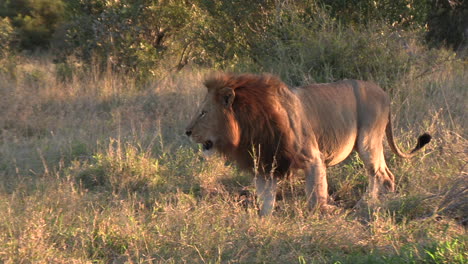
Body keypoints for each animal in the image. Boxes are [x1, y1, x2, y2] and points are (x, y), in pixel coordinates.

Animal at [184, 73, 432, 216]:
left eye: (203, 112)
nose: (186, 132)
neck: (250, 125)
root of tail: (384, 93)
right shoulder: (266, 162)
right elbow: (266, 199)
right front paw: (263, 221)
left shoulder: (313, 157)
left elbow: (316, 194)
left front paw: (322, 215)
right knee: (381, 174)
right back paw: (378, 202)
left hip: (367, 141)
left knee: (382, 174)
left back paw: (374, 204)